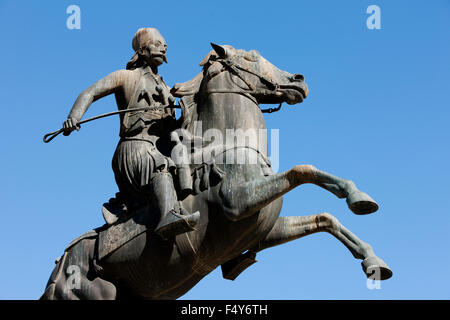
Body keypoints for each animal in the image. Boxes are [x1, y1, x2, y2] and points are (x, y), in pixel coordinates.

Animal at [43, 43, 394, 300]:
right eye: (251, 57)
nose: (299, 80)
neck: (230, 147)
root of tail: (60, 266)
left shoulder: (264, 230)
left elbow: (325, 218)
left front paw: (372, 258)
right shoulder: (239, 202)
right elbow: (302, 170)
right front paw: (356, 196)